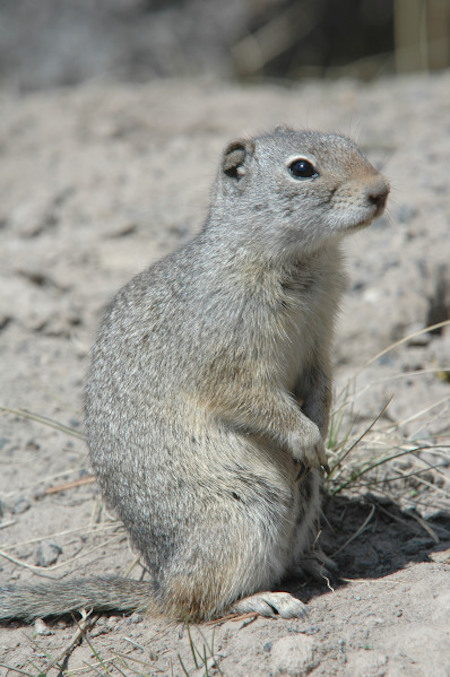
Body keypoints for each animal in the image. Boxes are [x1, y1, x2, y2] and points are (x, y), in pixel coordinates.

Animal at [0, 127, 389, 623]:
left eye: (353, 146)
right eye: (302, 168)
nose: (381, 190)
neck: (301, 260)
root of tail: (159, 586)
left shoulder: (319, 339)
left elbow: (320, 384)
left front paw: (319, 431)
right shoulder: (226, 353)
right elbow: (250, 396)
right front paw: (304, 435)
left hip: (298, 506)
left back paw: (312, 561)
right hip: (239, 516)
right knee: (197, 604)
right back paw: (265, 598)